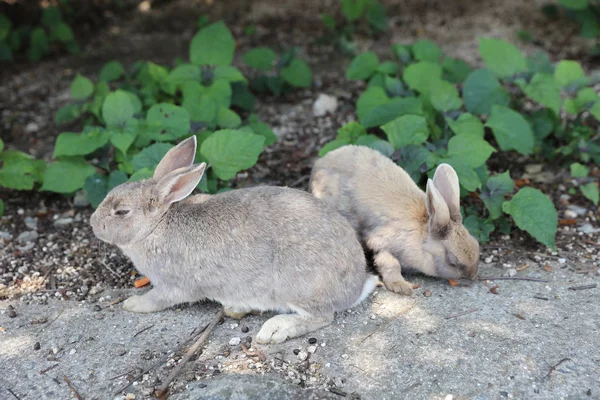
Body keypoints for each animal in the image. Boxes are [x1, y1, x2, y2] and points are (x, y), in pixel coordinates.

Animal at [89, 138, 376, 344]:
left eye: (121, 212)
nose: (92, 223)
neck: (157, 226)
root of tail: (355, 287)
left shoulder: (175, 285)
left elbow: (157, 299)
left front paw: (133, 304)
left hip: (296, 285)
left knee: (322, 317)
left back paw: (275, 330)